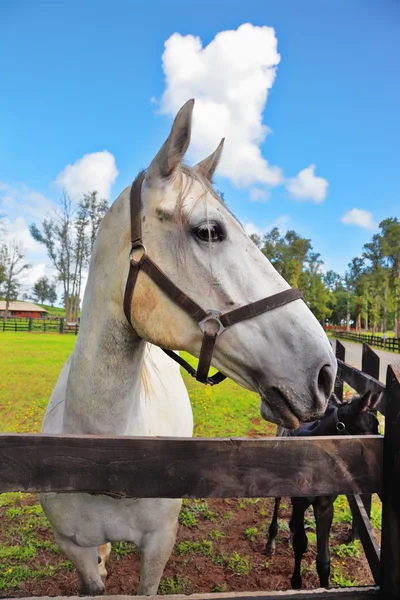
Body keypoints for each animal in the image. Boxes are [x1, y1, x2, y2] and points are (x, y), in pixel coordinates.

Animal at [40, 98, 336, 596]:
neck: (103, 456)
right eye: (210, 231)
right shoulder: (74, 549)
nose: (325, 373)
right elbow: (92, 571)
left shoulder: (159, 545)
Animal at [266, 390, 382, 592]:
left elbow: (323, 560)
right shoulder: (299, 501)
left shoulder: (325, 507)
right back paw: (271, 540)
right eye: (366, 434)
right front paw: (296, 584)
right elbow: (301, 543)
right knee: (278, 500)